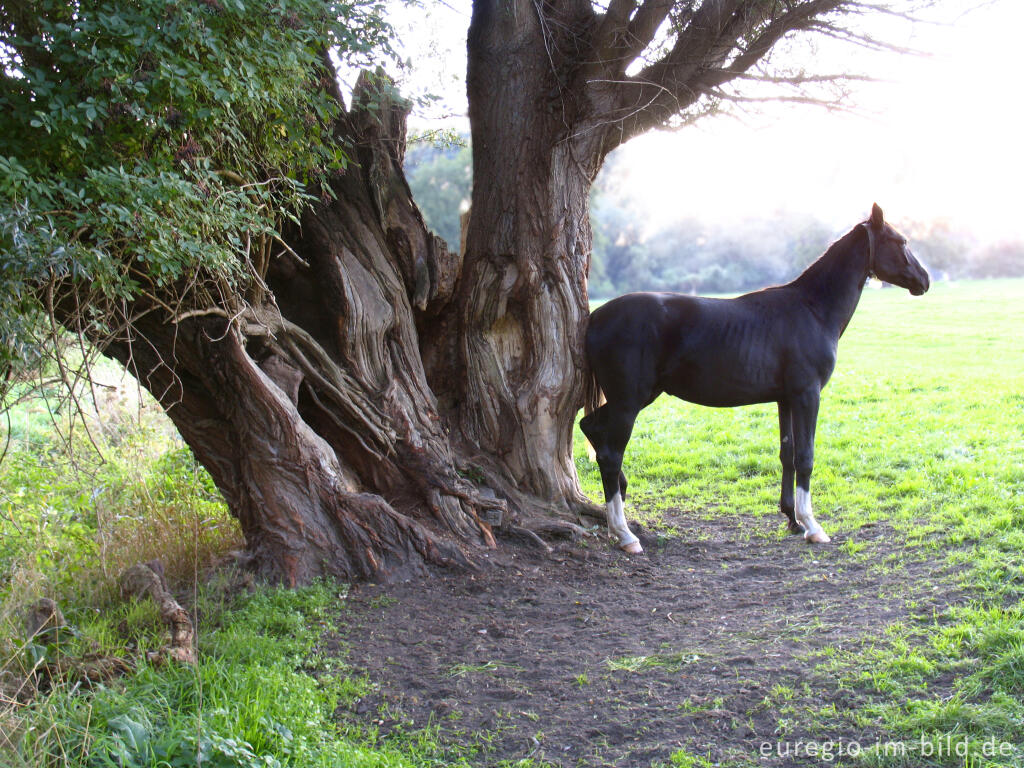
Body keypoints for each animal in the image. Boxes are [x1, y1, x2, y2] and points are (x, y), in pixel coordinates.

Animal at [585, 204, 929, 552]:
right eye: (901, 241)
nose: (924, 280)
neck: (812, 309)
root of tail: (595, 317)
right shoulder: (808, 394)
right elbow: (805, 456)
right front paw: (812, 525)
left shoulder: (785, 399)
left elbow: (787, 454)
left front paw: (792, 518)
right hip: (629, 401)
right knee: (611, 454)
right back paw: (624, 533)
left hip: (634, 397)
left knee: (592, 430)